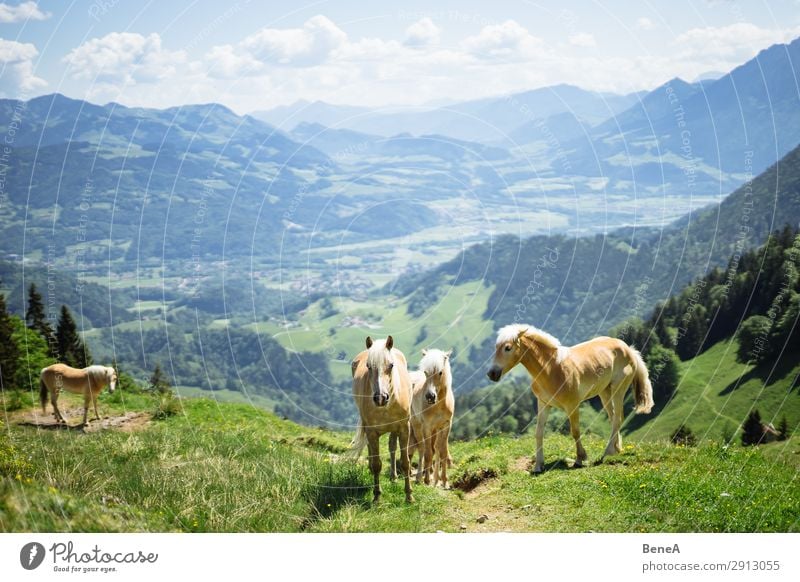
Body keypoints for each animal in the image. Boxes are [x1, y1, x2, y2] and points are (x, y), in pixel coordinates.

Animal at [348, 338, 412, 506]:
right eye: (369, 366)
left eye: (391, 365)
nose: (380, 398)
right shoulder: (372, 431)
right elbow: (377, 464)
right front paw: (377, 496)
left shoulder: (404, 428)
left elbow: (405, 462)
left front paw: (409, 496)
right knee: (371, 450)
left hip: (395, 429)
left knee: (392, 447)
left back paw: (394, 477)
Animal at [410, 350, 454, 490]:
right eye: (426, 372)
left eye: (440, 372)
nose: (430, 396)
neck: (439, 404)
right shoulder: (427, 427)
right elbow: (428, 453)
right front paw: (427, 480)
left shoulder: (446, 426)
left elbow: (443, 452)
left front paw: (444, 481)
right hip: (417, 426)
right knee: (422, 448)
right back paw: (420, 477)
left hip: (436, 430)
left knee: (436, 449)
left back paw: (435, 477)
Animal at [488, 326, 648, 476]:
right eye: (496, 347)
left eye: (507, 348)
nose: (492, 374)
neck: (551, 369)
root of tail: (627, 348)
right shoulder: (543, 404)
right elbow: (539, 432)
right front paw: (538, 466)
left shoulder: (572, 405)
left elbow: (575, 431)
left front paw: (580, 459)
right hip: (604, 391)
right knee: (614, 416)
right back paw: (617, 448)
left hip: (618, 389)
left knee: (617, 418)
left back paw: (607, 452)